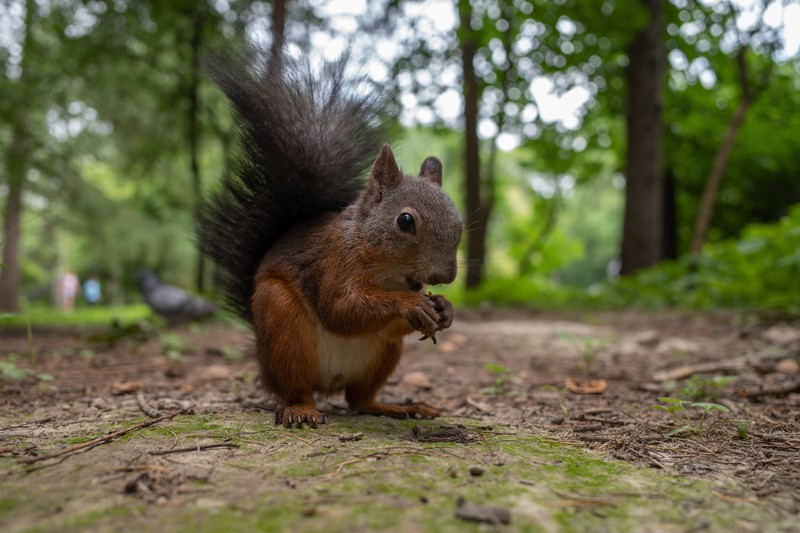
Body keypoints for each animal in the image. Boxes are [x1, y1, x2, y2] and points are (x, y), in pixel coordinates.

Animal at [198, 44, 463, 428]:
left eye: (459, 222)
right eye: (405, 221)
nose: (445, 276)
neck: (388, 271)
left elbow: (386, 323)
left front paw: (445, 309)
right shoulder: (333, 261)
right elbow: (341, 308)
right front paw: (411, 304)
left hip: (381, 358)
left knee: (360, 399)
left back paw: (399, 407)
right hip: (281, 322)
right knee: (298, 388)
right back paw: (302, 410)